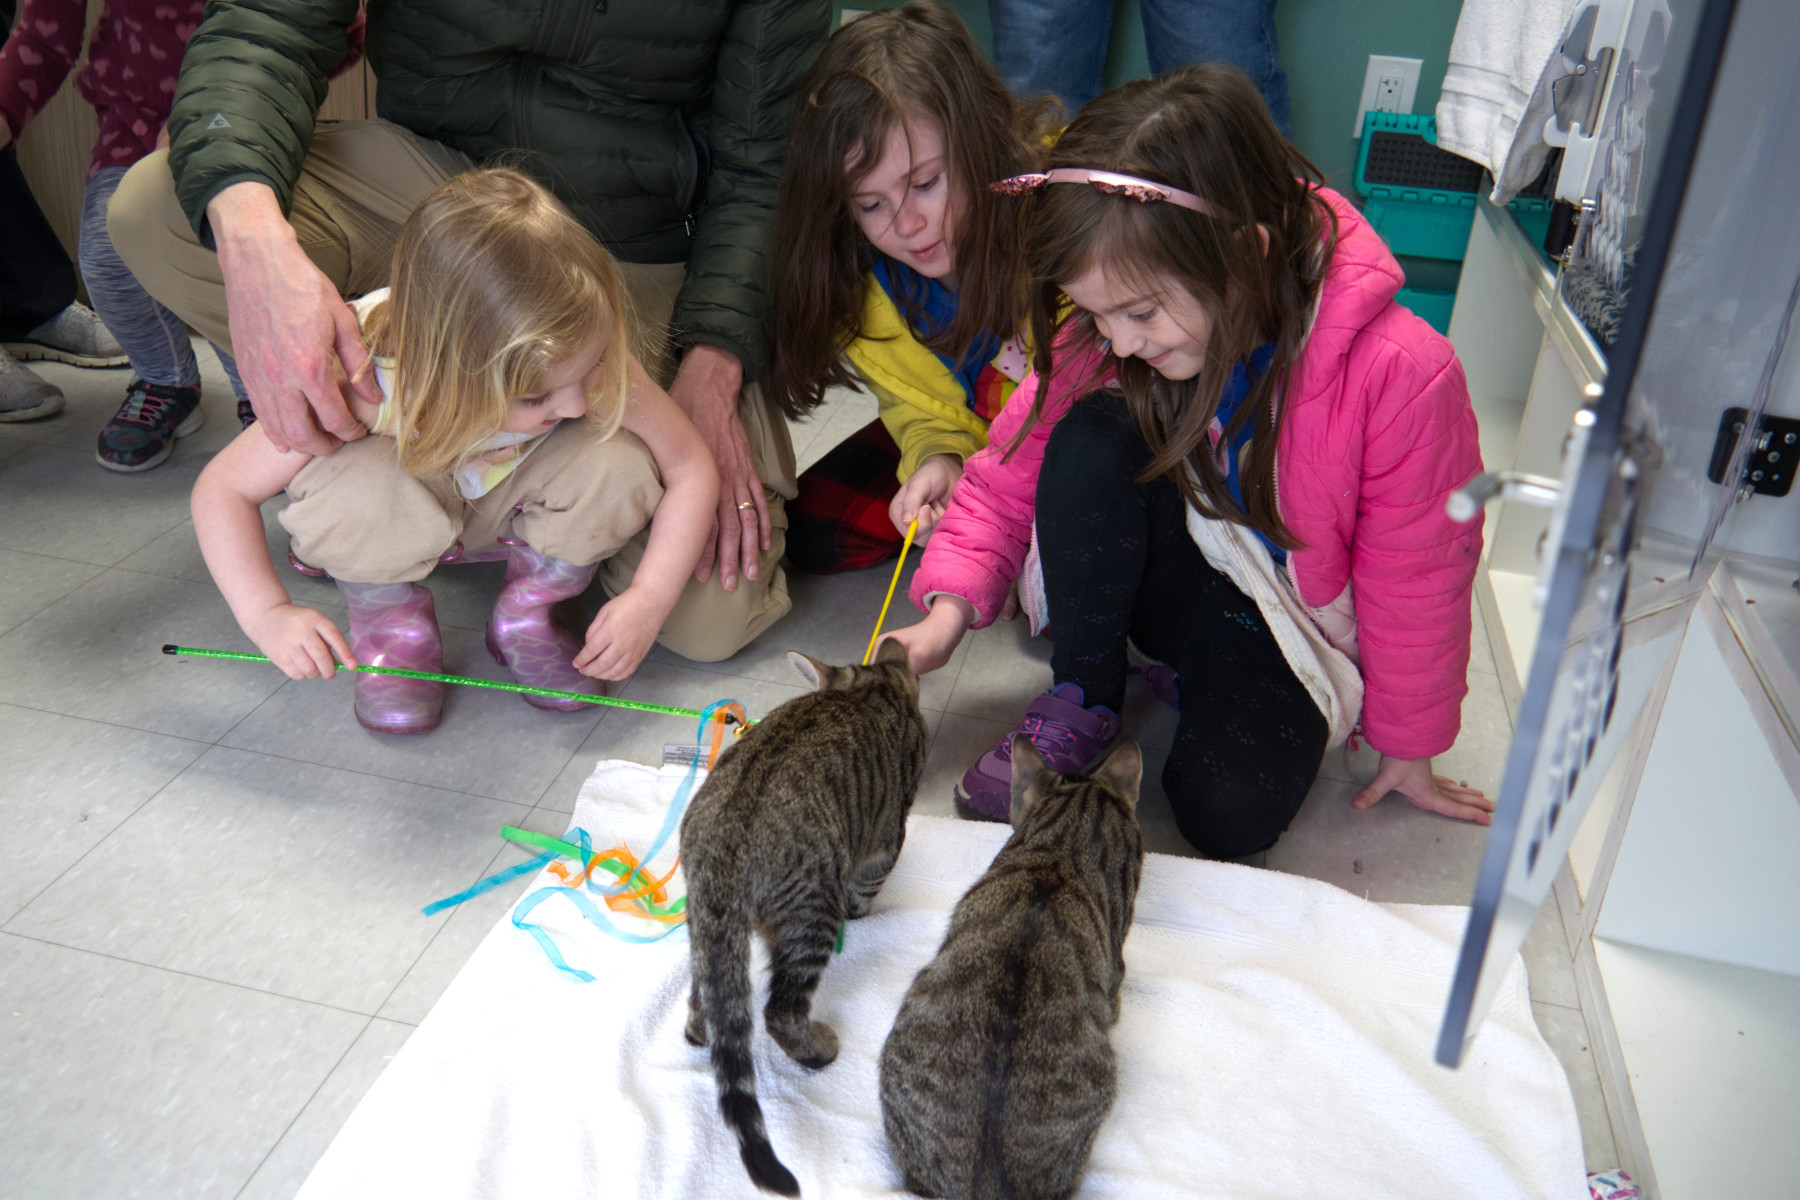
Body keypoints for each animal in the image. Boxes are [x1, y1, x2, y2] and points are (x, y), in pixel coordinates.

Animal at [679, 637, 928, 1196]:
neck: (870, 688)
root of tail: (724, 843)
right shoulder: (885, 844)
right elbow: (868, 890)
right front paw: (866, 917)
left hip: (706, 927)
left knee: (707, 996)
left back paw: (700, 1028)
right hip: (811, 910)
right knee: (780, 1011)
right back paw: (817, 1049)